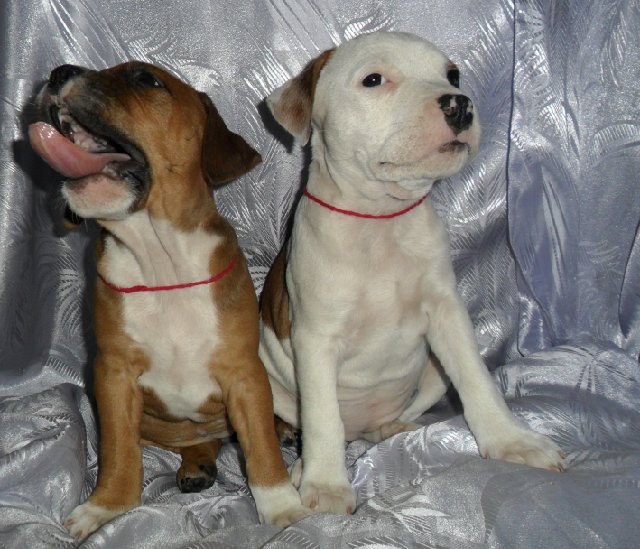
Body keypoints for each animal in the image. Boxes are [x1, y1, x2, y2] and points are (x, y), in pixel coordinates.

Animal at [29, 61, 310, 538]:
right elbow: (119, 452)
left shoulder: (244, 374)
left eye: (145, 79)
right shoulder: (114, 376)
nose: (58, 72)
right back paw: (197, 465)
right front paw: (106, 506)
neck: (161, 263)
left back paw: (281, 431)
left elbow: (260, 446)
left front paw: (282, 507)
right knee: (198, 441)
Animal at [259, 31, 564, 514]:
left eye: (452, 75)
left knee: (393, 418)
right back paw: (300, 463)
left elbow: (478, 381)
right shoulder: (315, 337)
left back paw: (394, 431)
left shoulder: (447, 314)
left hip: (432, 375)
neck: (381, 220)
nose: (459, 103)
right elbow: (323, 415)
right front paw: (325, 484)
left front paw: (512, 440)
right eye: (373, 80)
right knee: (317, 424)